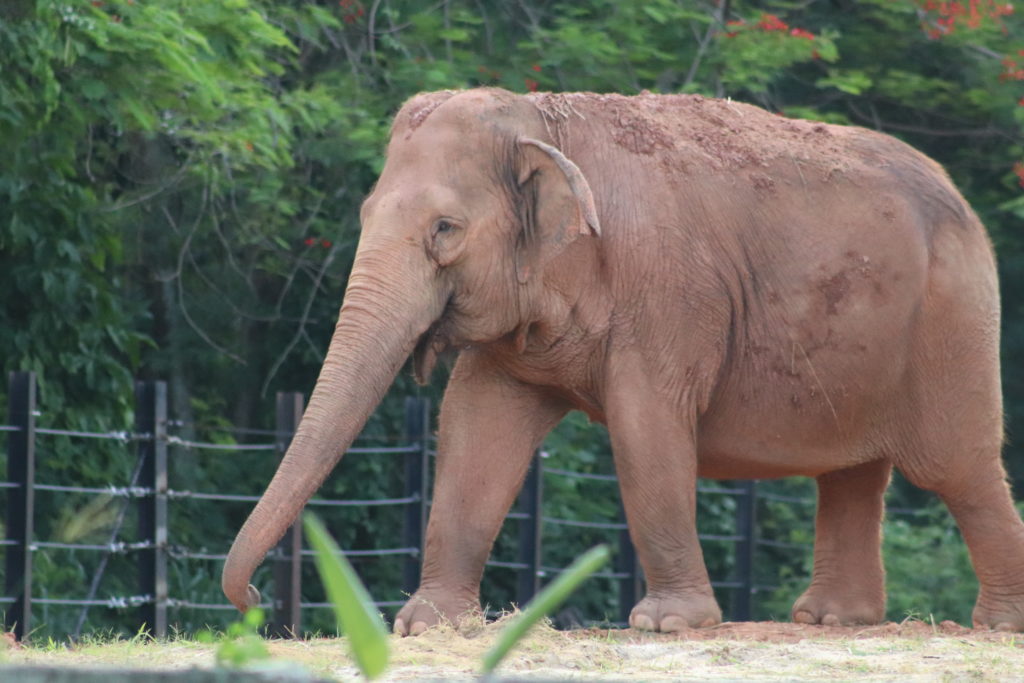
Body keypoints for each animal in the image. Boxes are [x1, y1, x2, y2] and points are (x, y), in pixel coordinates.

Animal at [224, 87, 1024, 634]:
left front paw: (666, 624)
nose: (255, 600)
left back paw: (994, 624)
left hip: (952, 320)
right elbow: (474, 427)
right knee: (851, 473)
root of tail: (960, 196)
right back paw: (830, 619)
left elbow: (647, 425)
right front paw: (429, 625)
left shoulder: (666, 286)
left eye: (444, 229)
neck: (542, 122)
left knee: (957, 468)